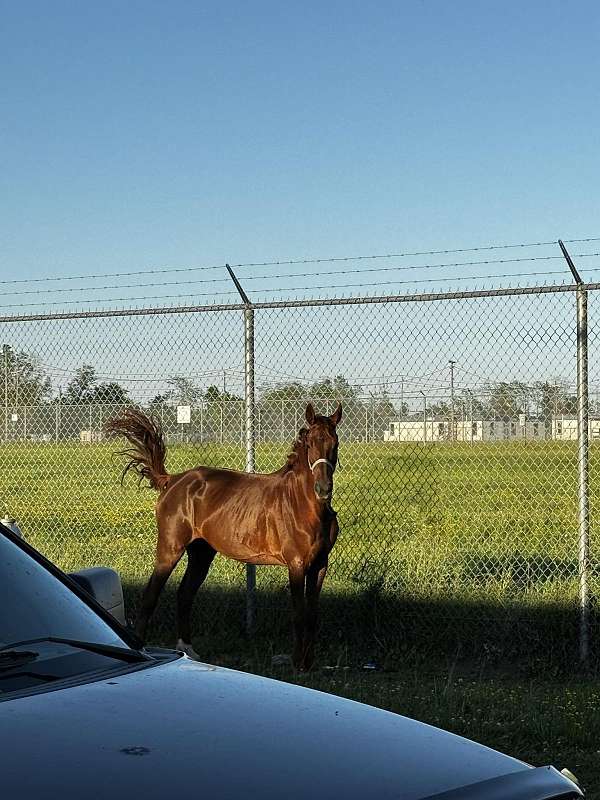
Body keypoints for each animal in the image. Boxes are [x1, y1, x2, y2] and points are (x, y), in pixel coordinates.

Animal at [105, 400, 340, 668]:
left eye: (334, 443)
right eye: (310, 443)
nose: (323, 488)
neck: (304, 505)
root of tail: (173, 480)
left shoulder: (319, 565)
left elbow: (312, 615)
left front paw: (308, 663)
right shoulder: (297, 565)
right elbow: (299, 614)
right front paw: (297, 664)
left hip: (201, 553)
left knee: (185, 594)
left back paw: (189, 649)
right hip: (170, 548)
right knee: (150, 596)